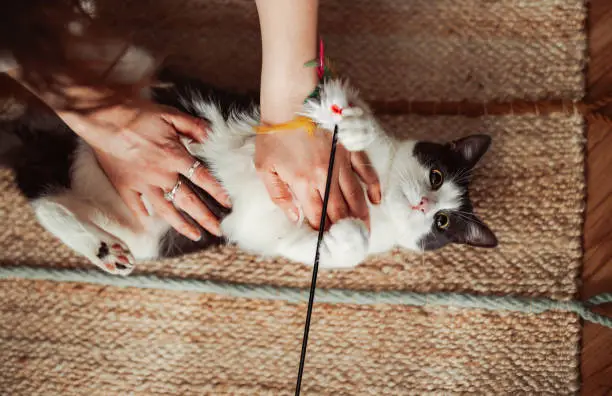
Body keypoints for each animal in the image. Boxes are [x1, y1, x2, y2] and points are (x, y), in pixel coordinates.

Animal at [1, 71, 498, 276]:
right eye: (436, 175)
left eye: (443, 222)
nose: (425, 204)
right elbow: (339, 109)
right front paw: (355, 127)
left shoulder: (274, 235)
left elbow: (328, 247)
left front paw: (346, 235)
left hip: (151, 230)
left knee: (41, 193)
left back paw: (103, 249)